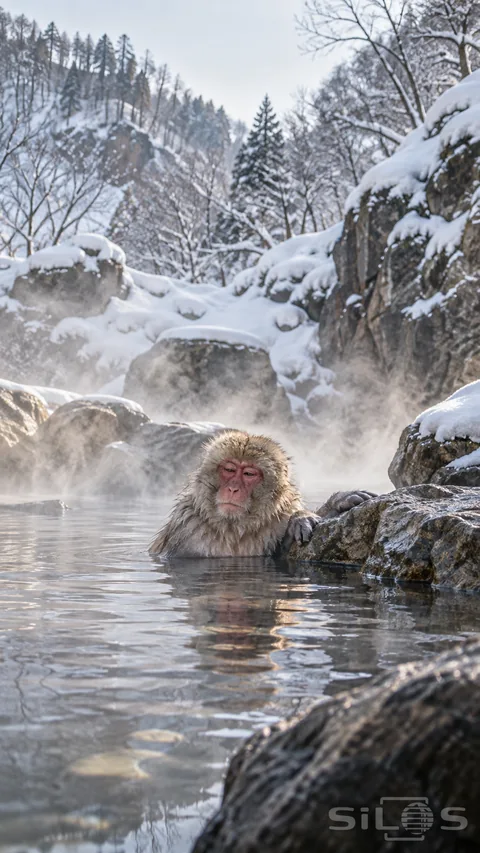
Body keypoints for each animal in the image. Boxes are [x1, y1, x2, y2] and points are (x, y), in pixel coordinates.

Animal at [149, 429, 376, 559]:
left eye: (249, 474)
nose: (233, 489)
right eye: (229, 470)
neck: (233, 528)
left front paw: (314, 513)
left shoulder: (276, 523)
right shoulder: (188, 529)